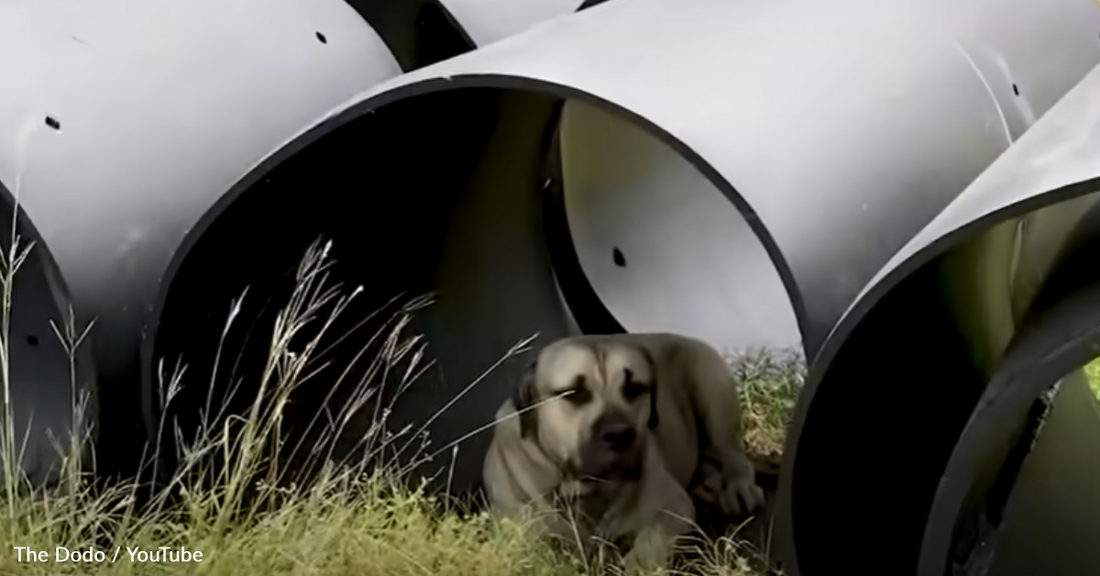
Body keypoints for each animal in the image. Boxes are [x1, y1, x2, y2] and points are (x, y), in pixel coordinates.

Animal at [481, 331, 765, 567]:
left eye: (634, 388)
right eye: (574, 393)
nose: (619, 434)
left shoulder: (673, 507)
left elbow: (650, 539)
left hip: (710, 385)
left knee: (733, 454)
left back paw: (738, 489)